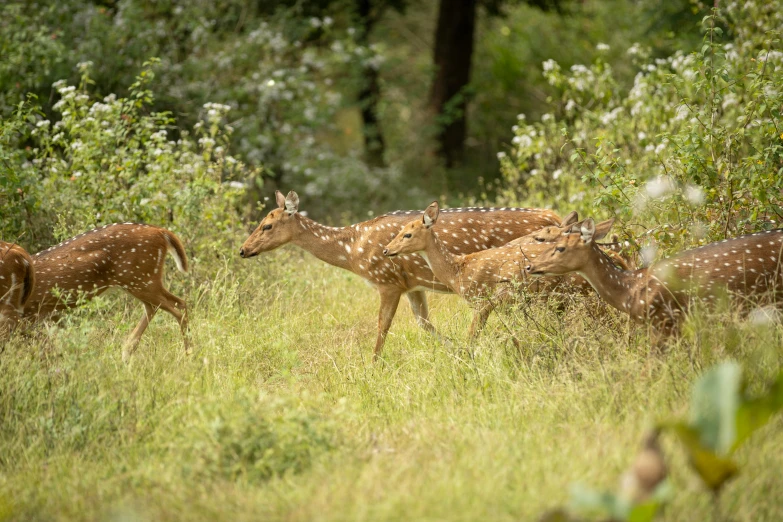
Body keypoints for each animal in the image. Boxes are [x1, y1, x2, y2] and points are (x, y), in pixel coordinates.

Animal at [23, 221, 189, 360]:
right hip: (140, 281)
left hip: (140, 278)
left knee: (176, 308)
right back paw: (128, 351)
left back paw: (188, 353)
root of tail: (161, 232)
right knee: (170, 304)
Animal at [239, 191, 564, 358]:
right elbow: (424, 323)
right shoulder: (414, 285)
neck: (352, 250)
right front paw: (456, 350)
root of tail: (556, 216)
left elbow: (382, 325)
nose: (243, 250)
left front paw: (372, 365)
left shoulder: (388, 280)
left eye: (267, 225)